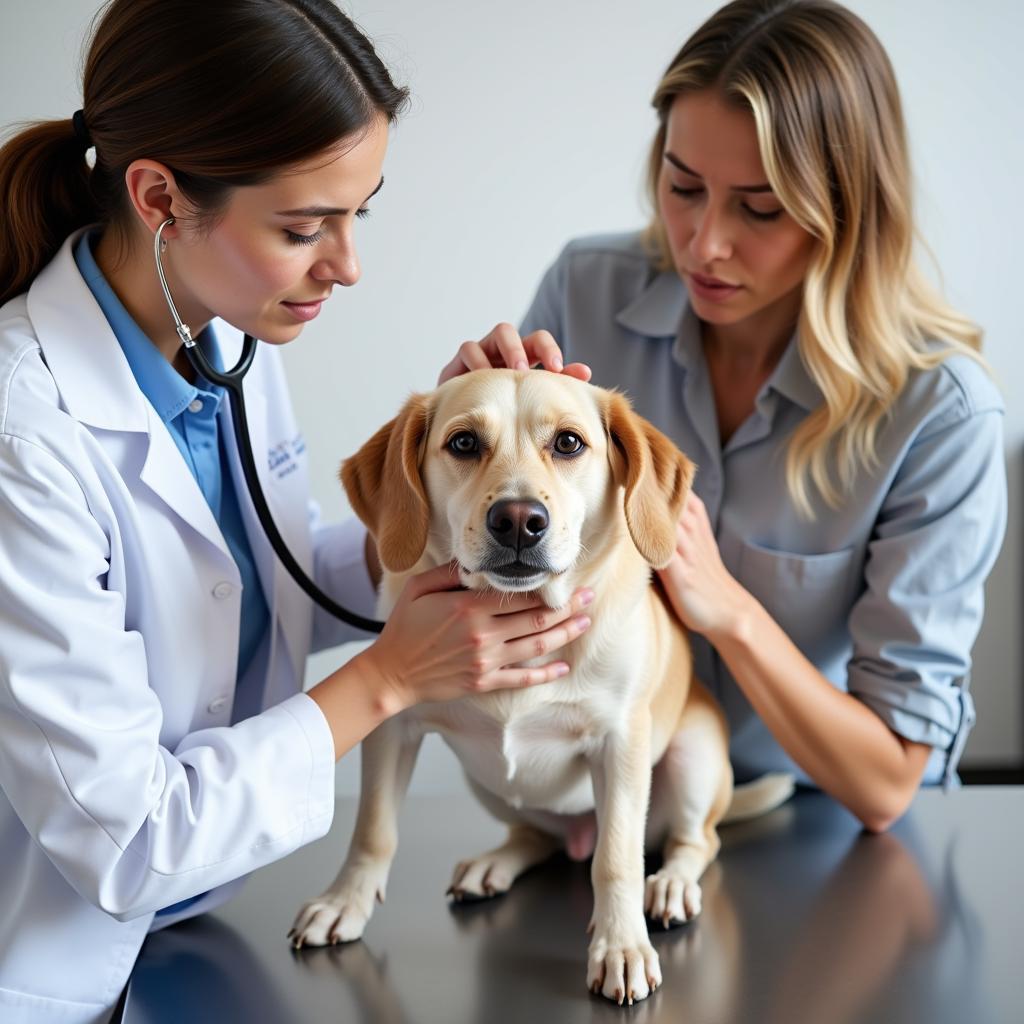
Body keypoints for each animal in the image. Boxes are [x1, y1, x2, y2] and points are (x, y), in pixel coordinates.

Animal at [288, 368, 790, 999]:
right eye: (463, 443)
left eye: (569, 443)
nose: (519, 520)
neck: (518, 613)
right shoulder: (393, 727)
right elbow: (373, 831)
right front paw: (344, 902)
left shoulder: (621, 743)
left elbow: (617, 859)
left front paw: (621, 944)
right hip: (489, 783)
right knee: (538, 836)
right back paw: (496, 862)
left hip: (694, 755)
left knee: (695, 841)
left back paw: (672, 883)